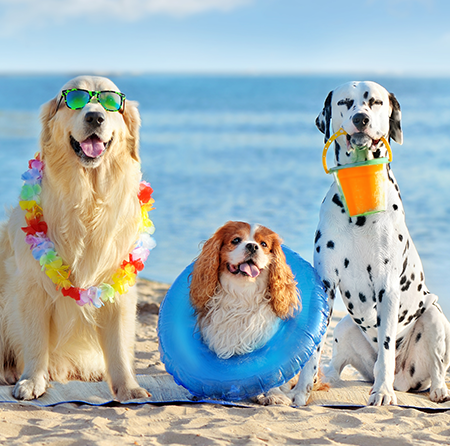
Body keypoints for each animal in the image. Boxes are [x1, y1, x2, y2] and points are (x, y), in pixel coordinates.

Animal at [302, 79, 450, 404]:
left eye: (377, 102)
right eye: (345, 102)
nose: (361, 119)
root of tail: (405, 380)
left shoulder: (388, 287)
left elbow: (386, 349)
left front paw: (382, 393)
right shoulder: (325, 284)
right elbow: (313, 347)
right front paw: (298, 391)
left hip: (434, 316)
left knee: (434, 365)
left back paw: (436, 389)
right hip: (344, 327)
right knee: (336, 363)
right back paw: (324, 378)